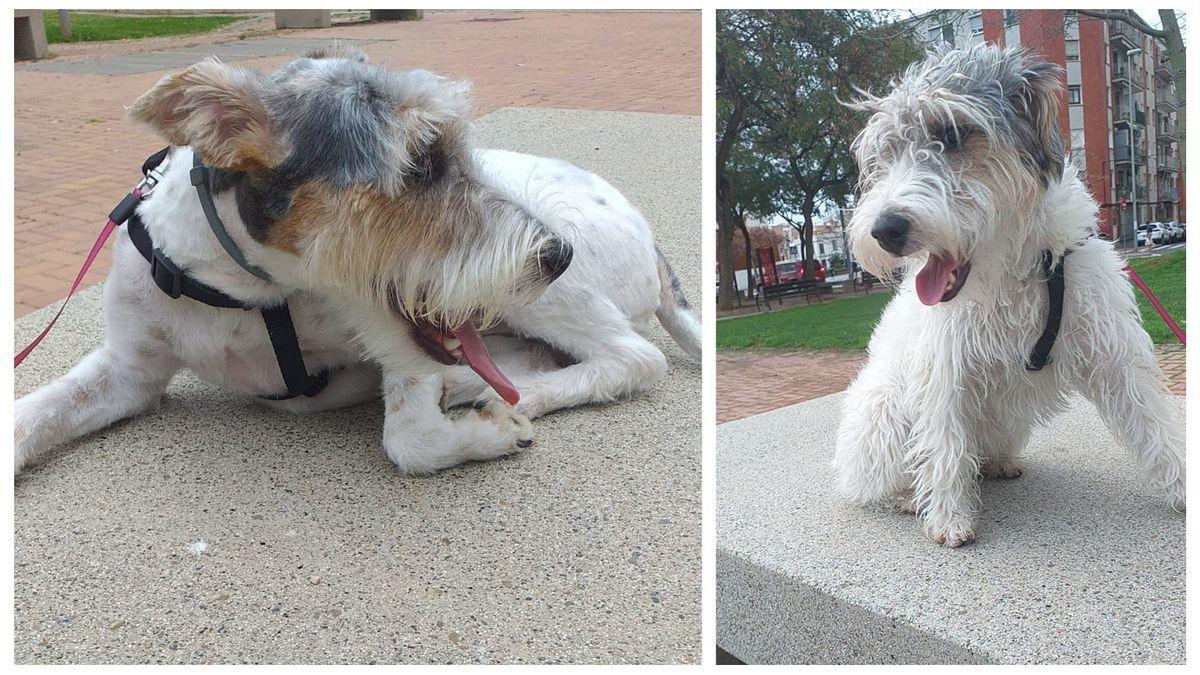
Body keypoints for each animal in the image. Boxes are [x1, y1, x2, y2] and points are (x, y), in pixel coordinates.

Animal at [14, 45, 700, 473]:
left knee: (631, 359)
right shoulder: (129, 369)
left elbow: (411, 439)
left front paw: (491, 430)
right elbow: (30, 415)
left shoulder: (400, 352)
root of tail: (653, 245)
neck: (246, 292)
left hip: (552, 297)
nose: (559, 254)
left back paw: (503, 395)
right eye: (421, 162)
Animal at [830, 44, 1185, 542]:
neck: (1019, 271)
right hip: (880, 412)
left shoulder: (1114, 356)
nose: (884, 230)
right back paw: (907, 497)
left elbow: (1154, 424)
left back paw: (998, 463)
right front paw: (950, 517)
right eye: (886, 153)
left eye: (954, 133)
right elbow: (943, 445)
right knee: (889, 475)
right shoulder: (942, 370)